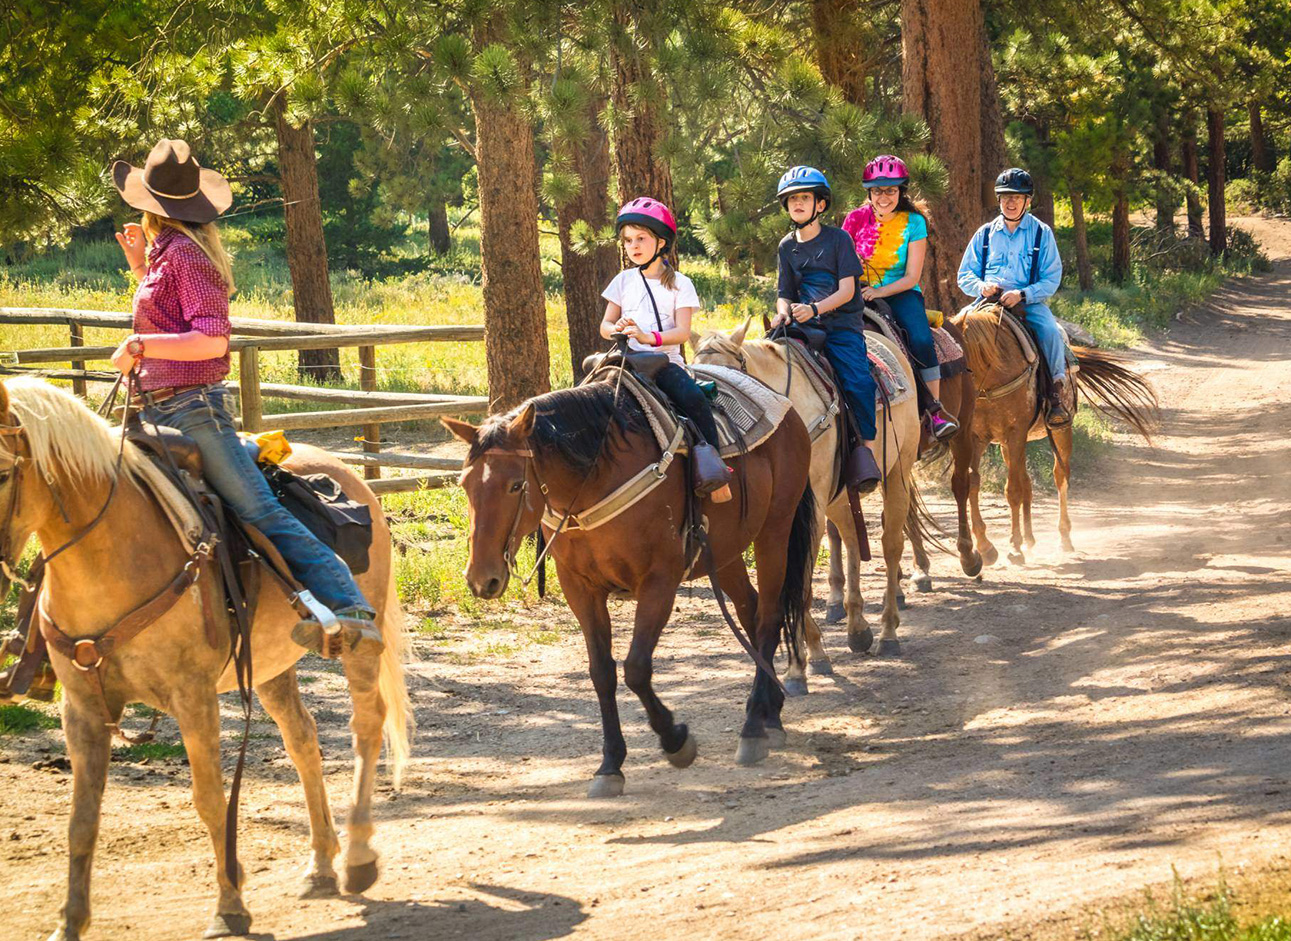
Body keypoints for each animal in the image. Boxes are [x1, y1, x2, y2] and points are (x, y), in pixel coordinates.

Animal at [0, 376, 410, 939]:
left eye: (2, 472)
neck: (114, 554)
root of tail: (352, 475)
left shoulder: (194, 697)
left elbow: (212, 800)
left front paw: (229, 907)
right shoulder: (81, 707)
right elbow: (81, 818)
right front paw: (70, 922)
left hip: (358, 650)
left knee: (366, 727)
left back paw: (358, 857)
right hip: (269, 666)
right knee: (303, 739)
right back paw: (321, 865)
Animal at [444, 374, 805, 795]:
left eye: (516, 486)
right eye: (465, 484)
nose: (481, 578)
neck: (594, 480)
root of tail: (786, 407)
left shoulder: (660, 580)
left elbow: (635, 668)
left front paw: (676, 740)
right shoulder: (579, 587)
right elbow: (602, 672)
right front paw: (610, 765)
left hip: (775, 530)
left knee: (768, 617)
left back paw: (754, 729)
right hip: (727, 552)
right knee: (751, 610)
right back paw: (769, 713)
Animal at [697, 318, 929, 686]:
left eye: (724, 386)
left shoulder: (808, 512)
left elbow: (800, 578)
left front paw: (810, 658)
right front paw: (799, 664)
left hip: (898, 470)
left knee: (891, 543)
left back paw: (887, 632)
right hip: (838, 495)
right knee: (850, 537)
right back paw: (857, 627)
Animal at [950, 304, 1161, 562]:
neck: (992, 380)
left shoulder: (1015, 433)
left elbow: (1013, 490)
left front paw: (1014, 546)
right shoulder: (976, 438)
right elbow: (974, 484)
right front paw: (985, 546)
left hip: (1059, 431)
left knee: (1059, 476)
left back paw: (1063, 538)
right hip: (1009, 445)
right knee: (1027, 481)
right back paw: (1030, 539)